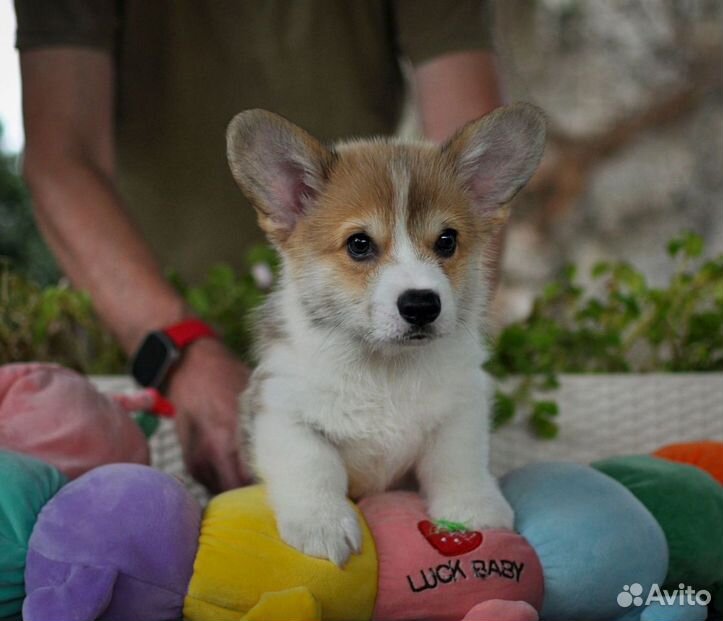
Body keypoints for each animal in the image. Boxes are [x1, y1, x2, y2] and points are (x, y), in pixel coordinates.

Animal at [229, 104, 544, 564]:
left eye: (447, 241)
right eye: (359, 244)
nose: (421, 305)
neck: (384, 369)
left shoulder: (463, 406)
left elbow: (459, 459)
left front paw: (474, 509)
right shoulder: (281, 410)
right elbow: (311, 465)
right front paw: (322, 524)